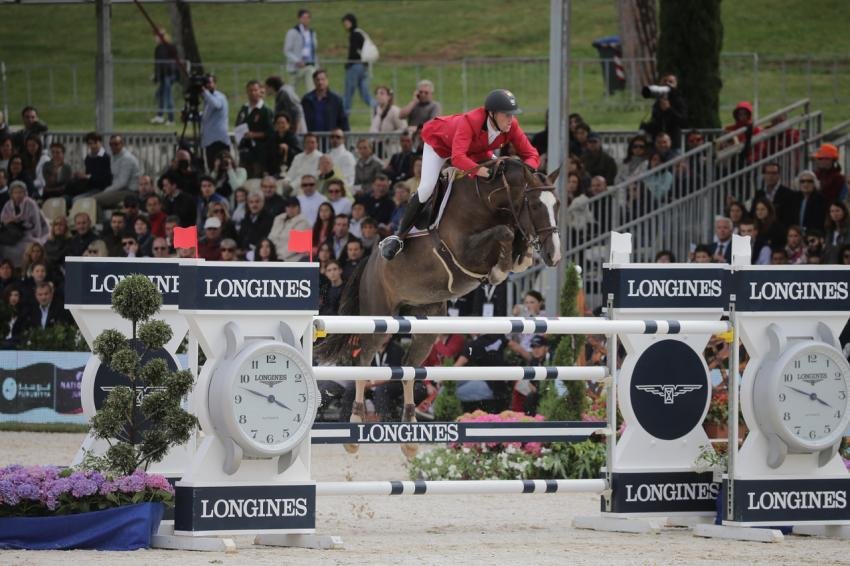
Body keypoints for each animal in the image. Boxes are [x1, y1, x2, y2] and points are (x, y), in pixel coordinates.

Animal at [315, 156, 562, 457]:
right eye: (536, 205)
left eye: (557, 205)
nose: (554, 255)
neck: (488, 201)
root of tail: (368, 261)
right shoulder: (465, 252)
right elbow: (504, 233)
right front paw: (499, 270)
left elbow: (515, 242)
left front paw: (517, 257)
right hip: (379, 317)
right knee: (363, 362)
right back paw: (354, 429)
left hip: (429, 320)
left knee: (408, 369)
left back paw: (410, 437)